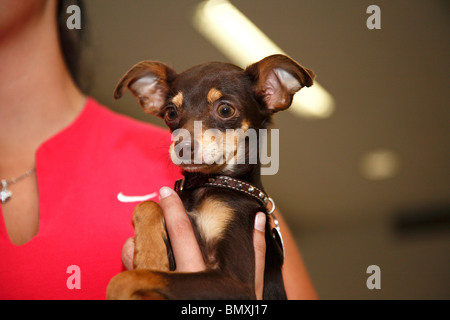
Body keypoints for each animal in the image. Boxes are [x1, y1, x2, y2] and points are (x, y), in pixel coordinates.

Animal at [107, 55, 314, 300]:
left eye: (225, 110)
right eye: (170, 113)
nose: (182, 148)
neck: (208, 184)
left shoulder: (236, 284)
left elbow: (128, 279)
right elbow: (147, 205)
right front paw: (150, 256)